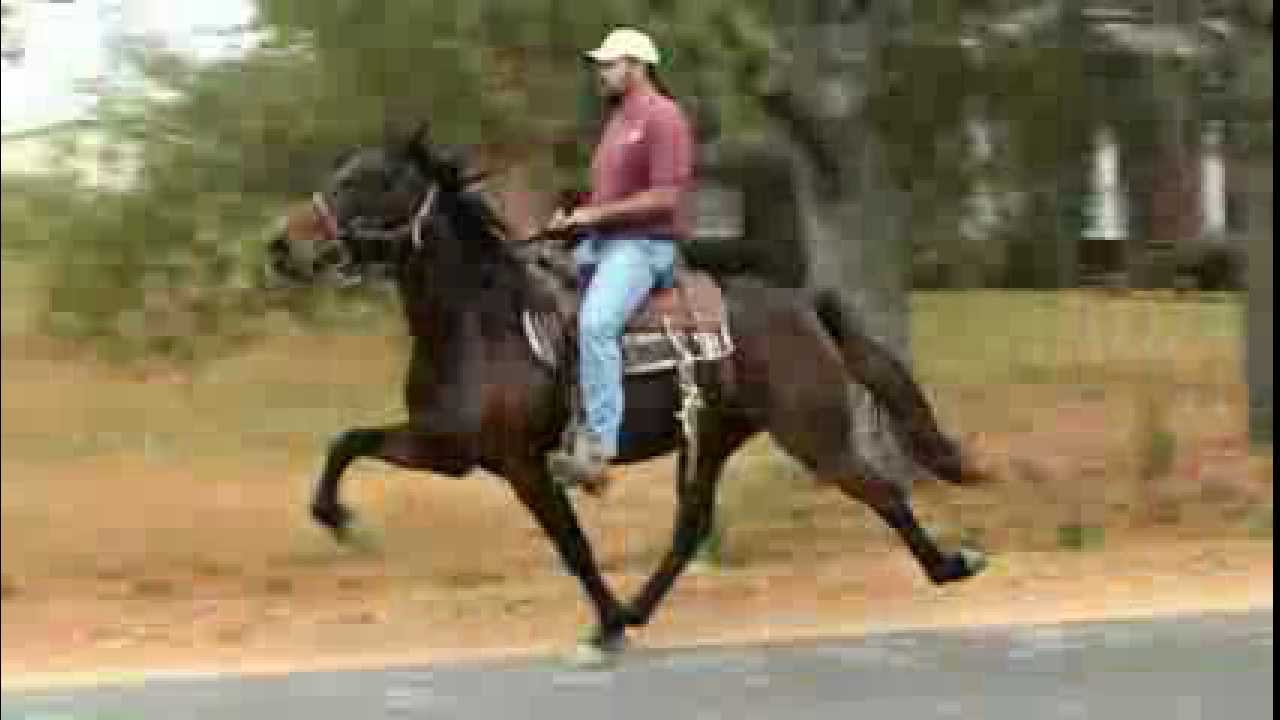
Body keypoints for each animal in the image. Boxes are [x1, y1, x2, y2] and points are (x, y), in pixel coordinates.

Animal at [265, 123, 988, 661]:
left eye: (369, 179)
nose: (280, 245)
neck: (482, 322)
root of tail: (802, 303)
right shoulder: (447, 448)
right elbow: (347, 441)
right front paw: (337, 517)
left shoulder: (521, 464)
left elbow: (572, 545)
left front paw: (606, 622)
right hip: (715, 439)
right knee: (690, 528)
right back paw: (640, 609)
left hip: (813, 433)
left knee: (882, 491)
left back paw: (952, 564)